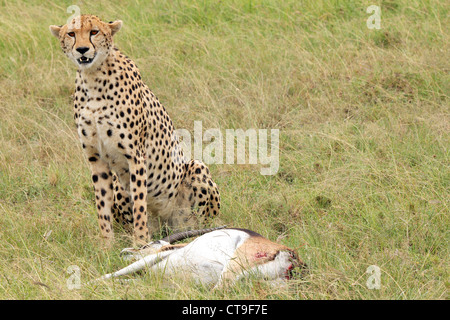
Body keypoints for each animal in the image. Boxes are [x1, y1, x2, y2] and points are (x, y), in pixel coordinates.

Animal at [50, 15, 221, 245]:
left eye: (94, 32)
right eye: (71, 34)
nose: (83, 49)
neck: (93, 77)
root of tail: (166, 226)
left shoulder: (135, 156)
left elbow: (140, 203)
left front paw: (140, 242)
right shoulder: (96, 159)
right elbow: (102, 206)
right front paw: (106, 245)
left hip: (196, 170)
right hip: (119, 185)